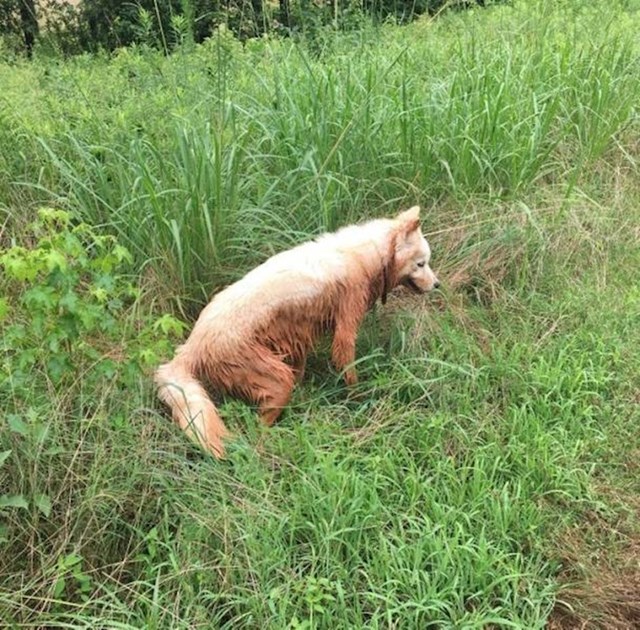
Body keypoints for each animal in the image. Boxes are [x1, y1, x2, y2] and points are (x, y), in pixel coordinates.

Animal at [154, 207, 440, 460]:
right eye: (421, 264)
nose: (438, 284)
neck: (368, 254)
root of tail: (191, 345)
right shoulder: (345, 328)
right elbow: (349, 371)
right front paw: (359, 400)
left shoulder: (299, 337)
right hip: (278, 381)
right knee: (258, 425)